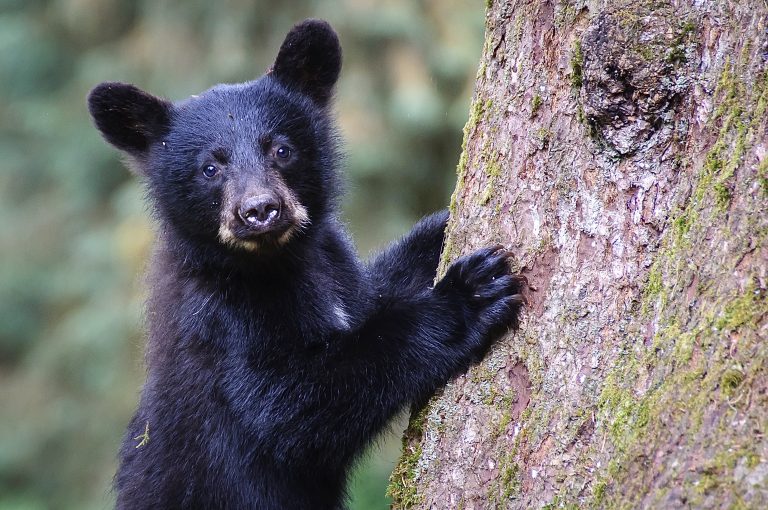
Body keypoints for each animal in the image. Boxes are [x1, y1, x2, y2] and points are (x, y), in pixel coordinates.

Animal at [88, 19, 524, 510]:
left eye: (281, 149)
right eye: (210, 168)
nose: (260, 210)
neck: (281, 262)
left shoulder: (335, 268)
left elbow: (377, 290)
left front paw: (441, 228)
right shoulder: (223, 321)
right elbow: (292, 406)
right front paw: (470, 294)